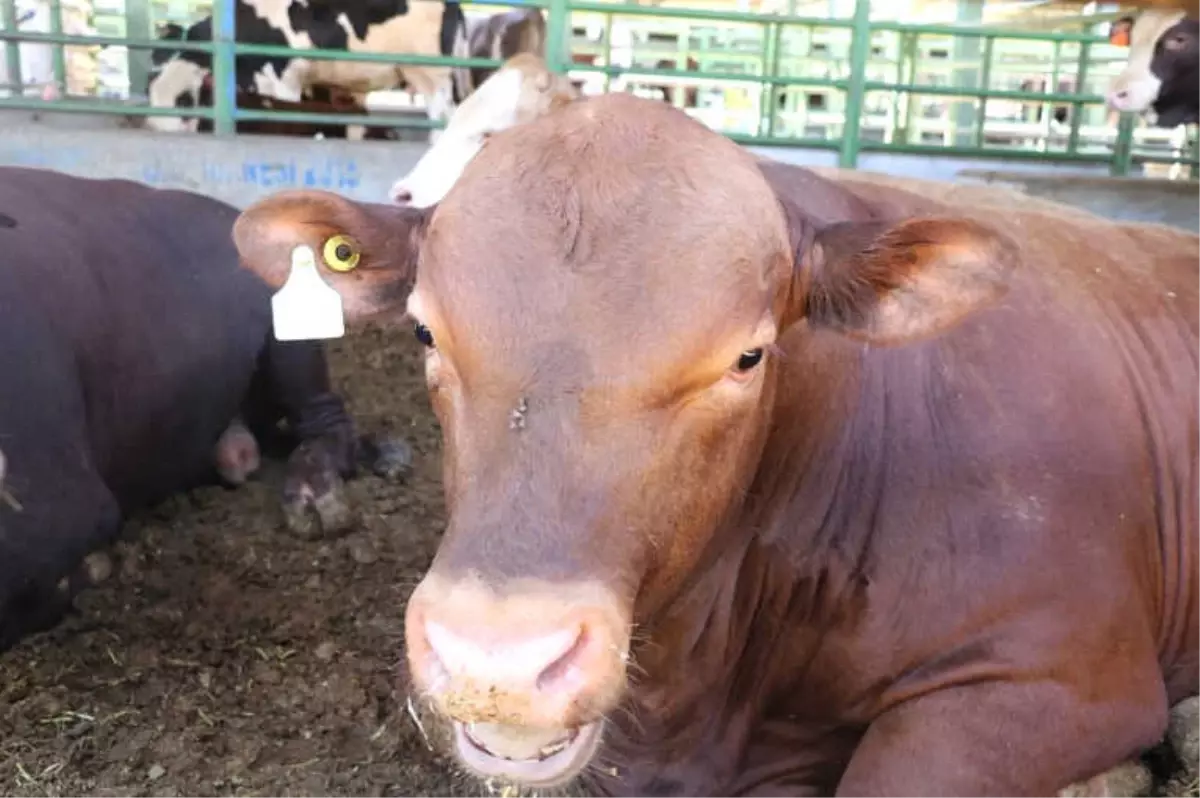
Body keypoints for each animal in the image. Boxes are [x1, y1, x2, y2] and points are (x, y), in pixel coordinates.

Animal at [144, 0, 468, 136]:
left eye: (185, 99)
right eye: (148, 88)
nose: (160, 128)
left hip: (429, 74)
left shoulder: (282, 78)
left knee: (444, 118)